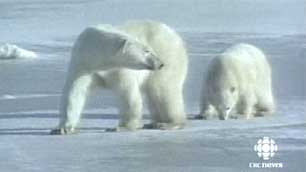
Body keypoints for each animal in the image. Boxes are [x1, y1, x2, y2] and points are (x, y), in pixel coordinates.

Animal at [51, 20, 188, 134]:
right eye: (146, 51)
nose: (160, 63)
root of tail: (176, 35)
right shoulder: (82, 65)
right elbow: (74, 93)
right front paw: (62, 128)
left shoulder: (118, 70)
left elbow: (127, 94)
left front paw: (122, 127)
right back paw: (154, 123)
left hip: (169, 55)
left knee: (164, 90)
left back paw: (169, 123)